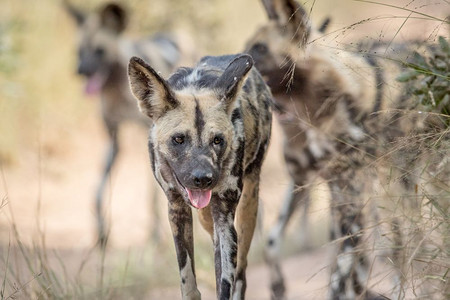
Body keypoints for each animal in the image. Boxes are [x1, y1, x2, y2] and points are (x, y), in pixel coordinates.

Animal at [128, 54, 272, 300]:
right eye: (178, 139)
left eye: (218, 140)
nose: (203, 178)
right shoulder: (177, 209)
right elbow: (188, 280)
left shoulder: (224, 214)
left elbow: (226, 281)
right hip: (207, 216)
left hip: (246, 207)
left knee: (240, 271)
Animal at [246, 0, 450, 300]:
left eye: (259, 49)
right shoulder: (311, 183)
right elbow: (274, 242)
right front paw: (278, 286)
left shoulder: (351, 196)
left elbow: (341, 276)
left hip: (400, 185)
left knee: (402, 242)